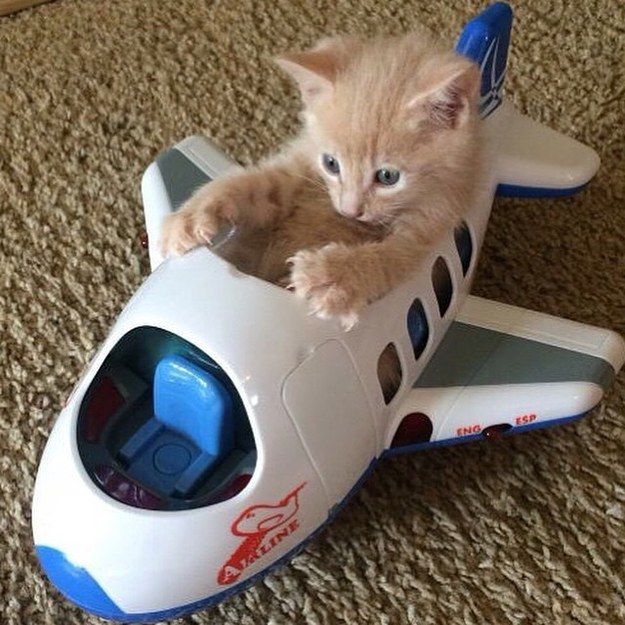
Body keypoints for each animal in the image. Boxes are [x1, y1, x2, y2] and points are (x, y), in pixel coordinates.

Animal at [158, 31, 480, 330]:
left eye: (388, 177)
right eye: (331, 164)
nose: (350, 210)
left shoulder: (432, 223)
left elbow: (389, 257)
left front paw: (331, 276)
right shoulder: (298, 166)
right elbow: (250, 185)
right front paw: (192, 216)